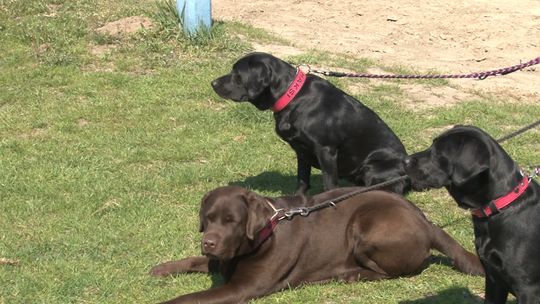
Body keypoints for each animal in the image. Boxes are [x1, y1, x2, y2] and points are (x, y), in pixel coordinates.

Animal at [150, 186, 484, 302]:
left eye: (232, 220)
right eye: (208, 219)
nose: (208, 242)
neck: (263, 235)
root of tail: (427, 221)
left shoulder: (242, 288)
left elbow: (188, 298)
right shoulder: (222, 259)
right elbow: (196, 261)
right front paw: (163, 267)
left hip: (366, 229)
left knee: (392, 272)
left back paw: (349, 274)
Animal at [211, 52, 410, 195]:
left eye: (237, 74)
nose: (213, 83)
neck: (292, 97)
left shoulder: (326, 150)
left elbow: (329, 184)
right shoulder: (301, 151)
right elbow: (302, 179)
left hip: (372, 167)